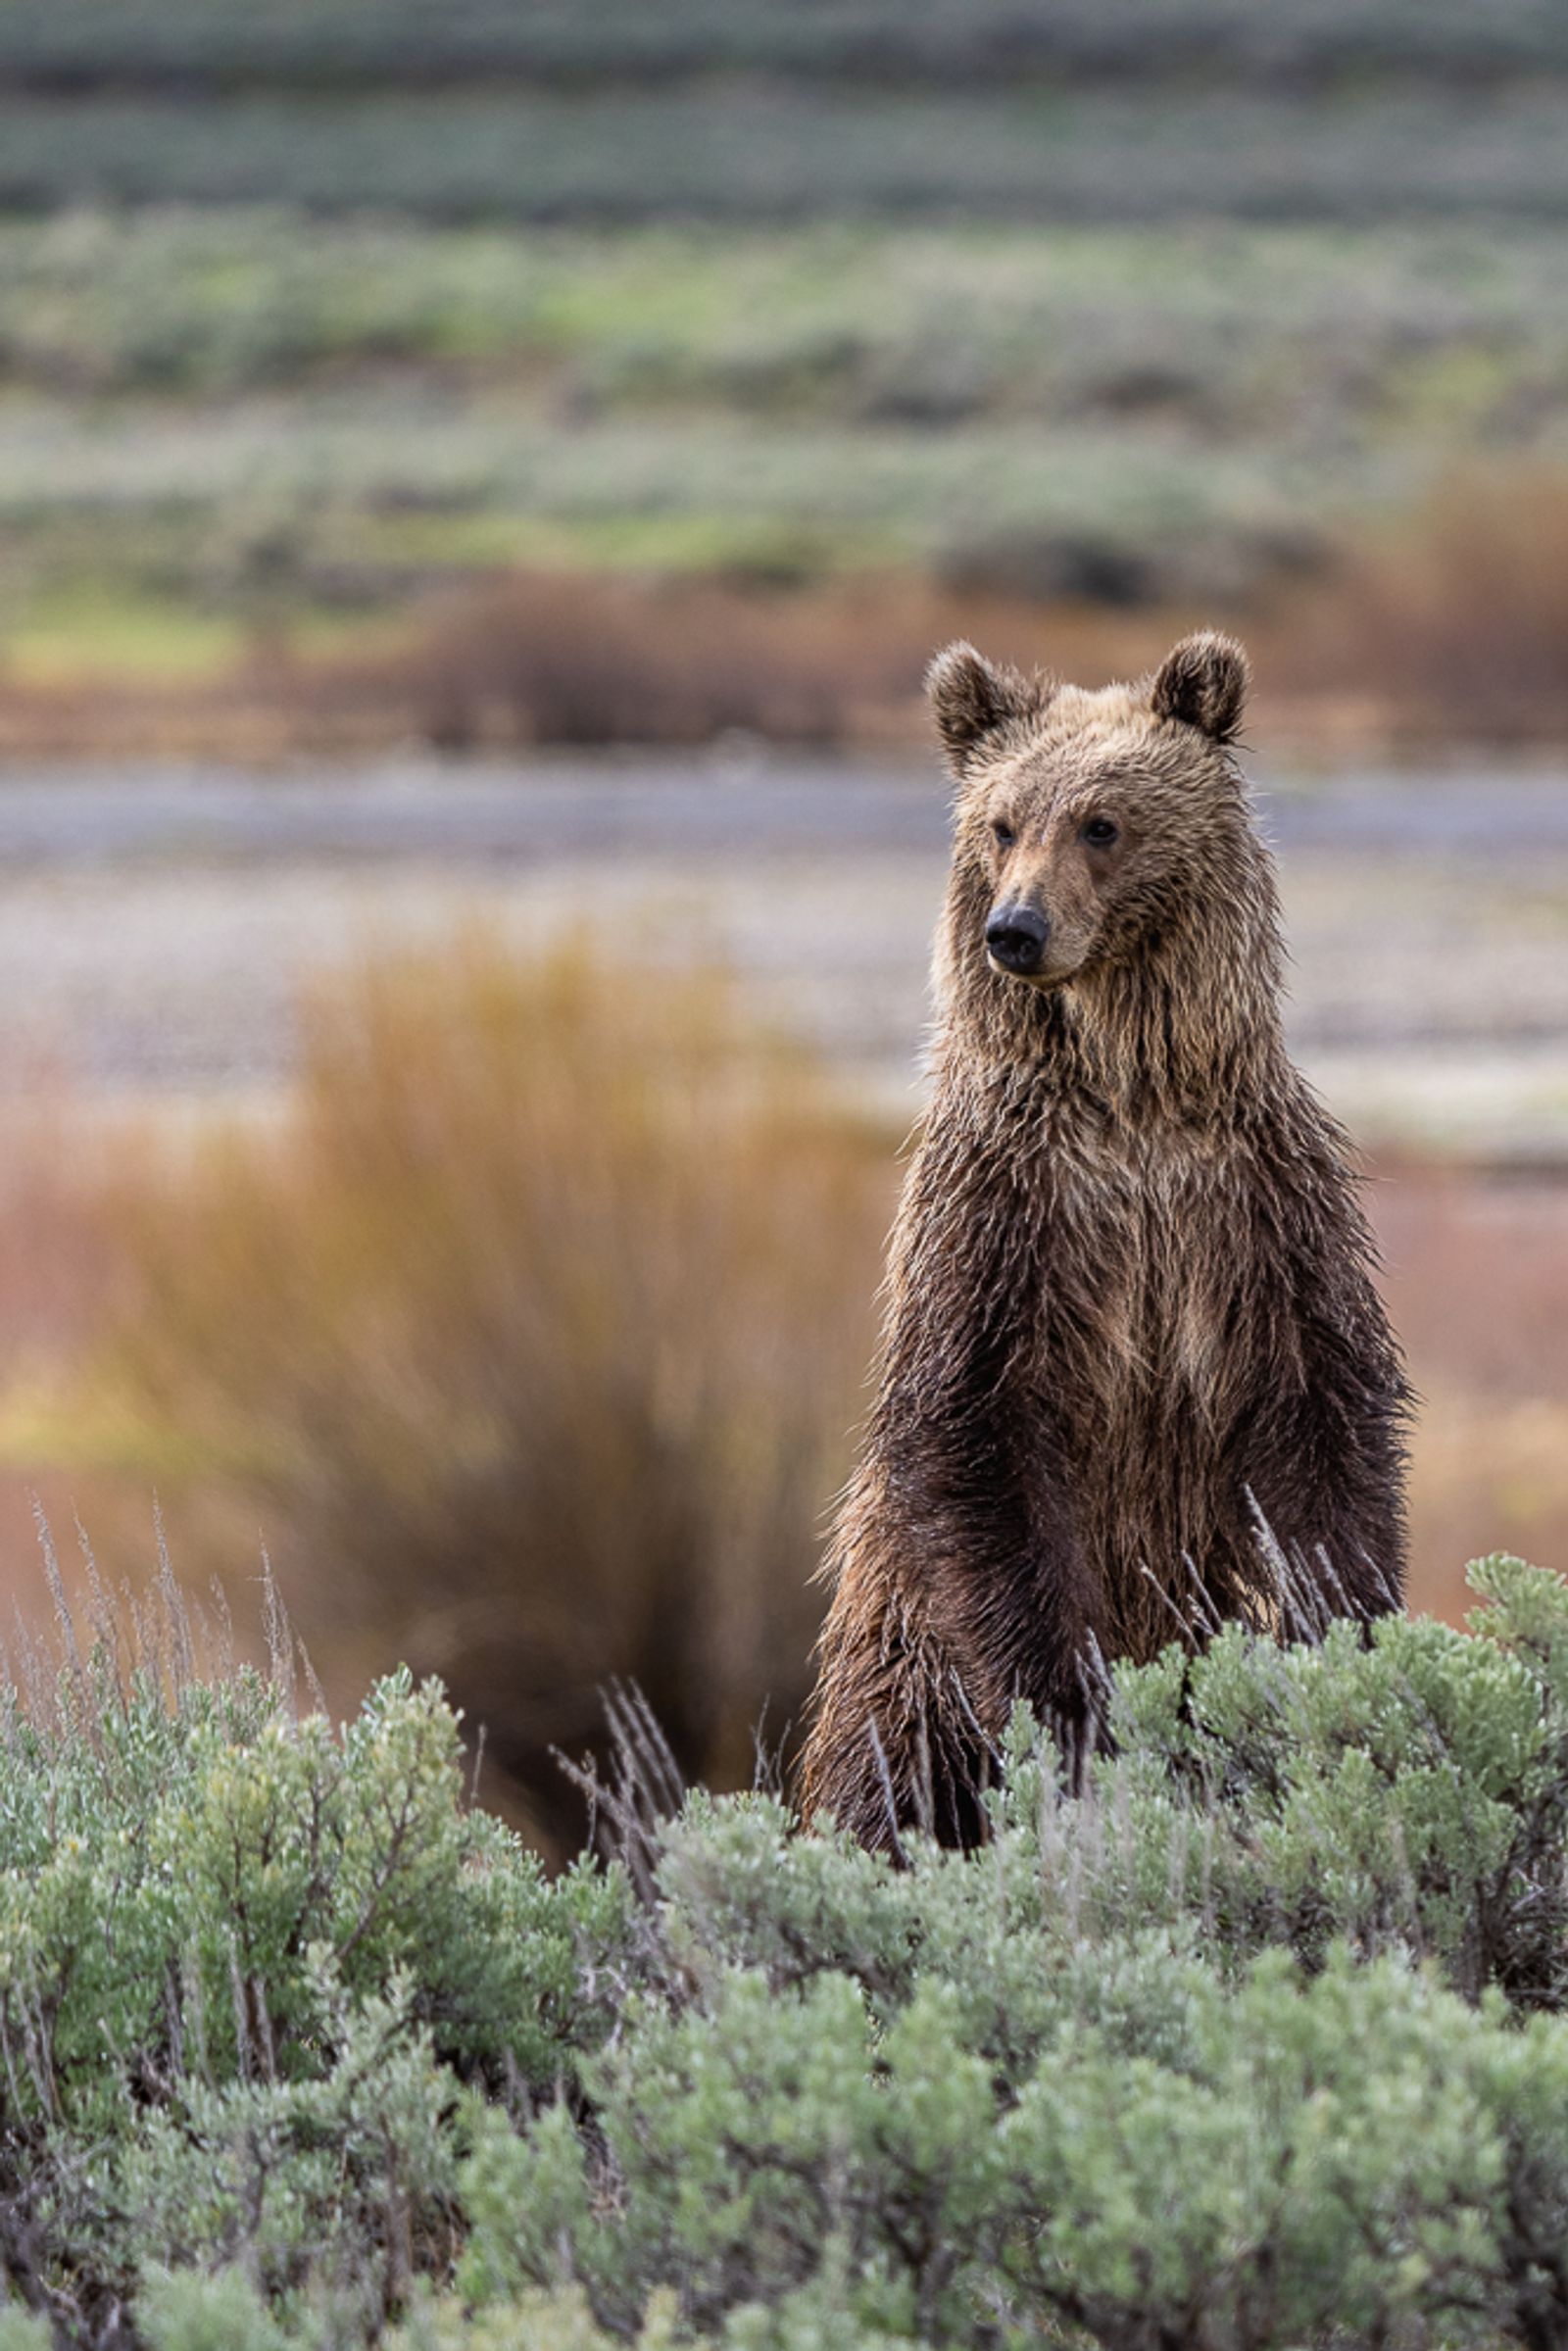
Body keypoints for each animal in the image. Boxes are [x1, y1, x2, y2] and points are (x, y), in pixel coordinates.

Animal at [796, 630, 1411, 1850]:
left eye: (1101, 821)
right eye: (999, 823)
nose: (1015, 930)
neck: (1128, 1101)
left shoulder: (1251, 1210)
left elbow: (1323, 1422)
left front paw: (1343, 1638)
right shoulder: (1004, 1220)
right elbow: (976, 1438)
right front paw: (1074, 1711)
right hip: (891, 1650)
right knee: (883, 1775)